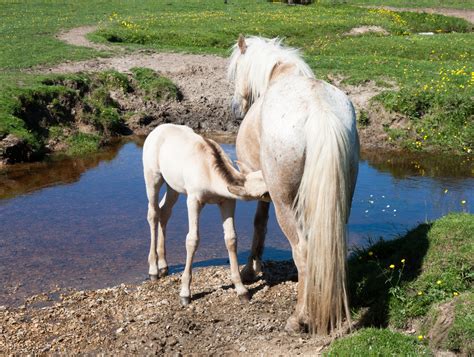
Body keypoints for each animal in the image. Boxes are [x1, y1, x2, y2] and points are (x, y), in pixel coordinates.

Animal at [143, 123, 268, 304]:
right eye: (266, 192)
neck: (209, 171)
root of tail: (157, 129)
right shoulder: (193, 200)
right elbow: (192, 240)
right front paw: (185, 293)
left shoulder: (227, 201)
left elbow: (231, 239)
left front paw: (241, 290)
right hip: (153, 177)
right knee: (153, 213)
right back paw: (153, 269)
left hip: (173, 186)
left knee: (164, 211)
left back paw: (163, 265)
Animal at [227, 36, 360, 334]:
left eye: (237, 68)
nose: (238, 106)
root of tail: (320, 111)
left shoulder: (264, 190)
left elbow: (259, 223)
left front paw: (250, 270)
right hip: (338, 200)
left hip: (285, 204)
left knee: (303, 251)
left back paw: (300, 318)